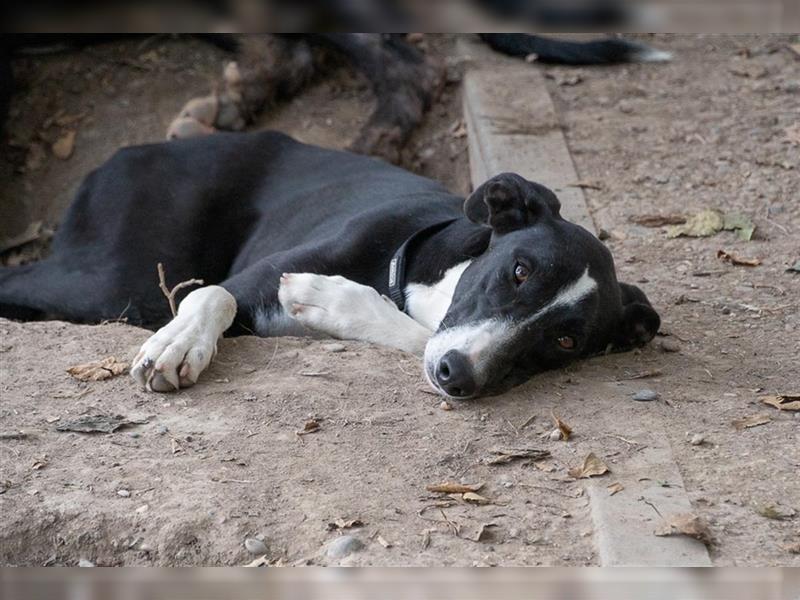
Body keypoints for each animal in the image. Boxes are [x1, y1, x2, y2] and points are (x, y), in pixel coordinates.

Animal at [0, 131, 660, 398]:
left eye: (567, 342)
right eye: (519, 271)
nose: (459, 377)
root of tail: (132, 150)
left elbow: (412, 335)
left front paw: (332, 300)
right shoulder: (250, 281)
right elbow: (211, 295)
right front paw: (178, 345)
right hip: (111, 281)